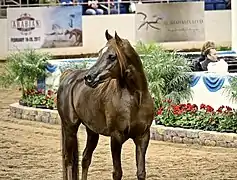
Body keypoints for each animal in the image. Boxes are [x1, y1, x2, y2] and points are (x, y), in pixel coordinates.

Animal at [56, 30, 155, 179]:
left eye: (112, 56)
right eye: (99, 53)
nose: (89, 78)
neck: (135, 99)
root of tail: (69, 75)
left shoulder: (142, 137)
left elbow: (141, 172)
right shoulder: (116, 138)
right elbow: (117, 173)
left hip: (92, 131)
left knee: (85, 159)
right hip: (70, 128)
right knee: (68, 161)